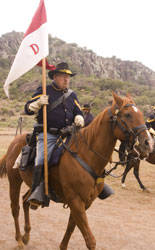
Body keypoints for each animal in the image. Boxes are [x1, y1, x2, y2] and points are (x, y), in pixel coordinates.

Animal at [0, 92, 153, 250]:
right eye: (128, 114)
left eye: (141, 114)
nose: (148, 143)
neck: (87, 155)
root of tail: (15, 141)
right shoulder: (75, 200)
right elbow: (90, 240)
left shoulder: (85, 203)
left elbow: (71, 227)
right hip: (14, 181)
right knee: (15, 208)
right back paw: (19, 240)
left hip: (32, 185)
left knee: (25, 201)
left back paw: (26, 236)